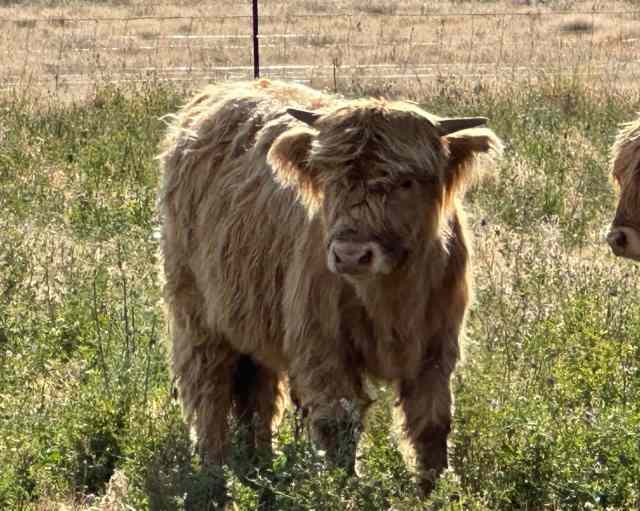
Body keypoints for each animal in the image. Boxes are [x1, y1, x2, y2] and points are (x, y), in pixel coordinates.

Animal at [157, 79, 502, 500]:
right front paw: (343, 491)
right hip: (197, 314)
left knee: (257, 394)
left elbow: (431, 422)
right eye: (330, 179)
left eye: (405, 181)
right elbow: (339, 422)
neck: (390, 295)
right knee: (209, 389)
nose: (351, 255)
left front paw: (431, 492)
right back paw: (215, 473)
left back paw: (258, 467)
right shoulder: (322, 344)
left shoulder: (437, 347)